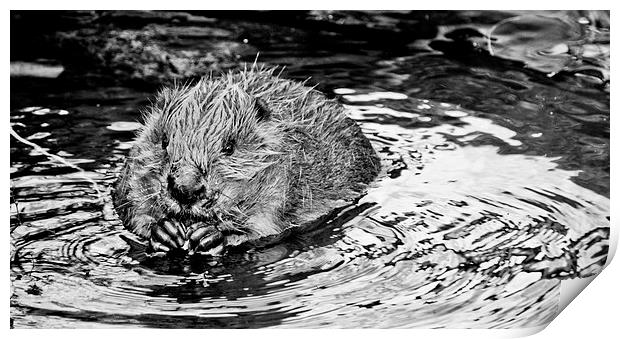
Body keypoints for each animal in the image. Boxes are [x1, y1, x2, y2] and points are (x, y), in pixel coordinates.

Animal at [113, 67, 380, 256]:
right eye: (164, 141)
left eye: (229, 147)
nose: (185, 188)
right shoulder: (132, 171)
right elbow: (129, 206)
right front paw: (164, 231)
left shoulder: (286, 185)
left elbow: (267, 229)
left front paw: (210, 235)